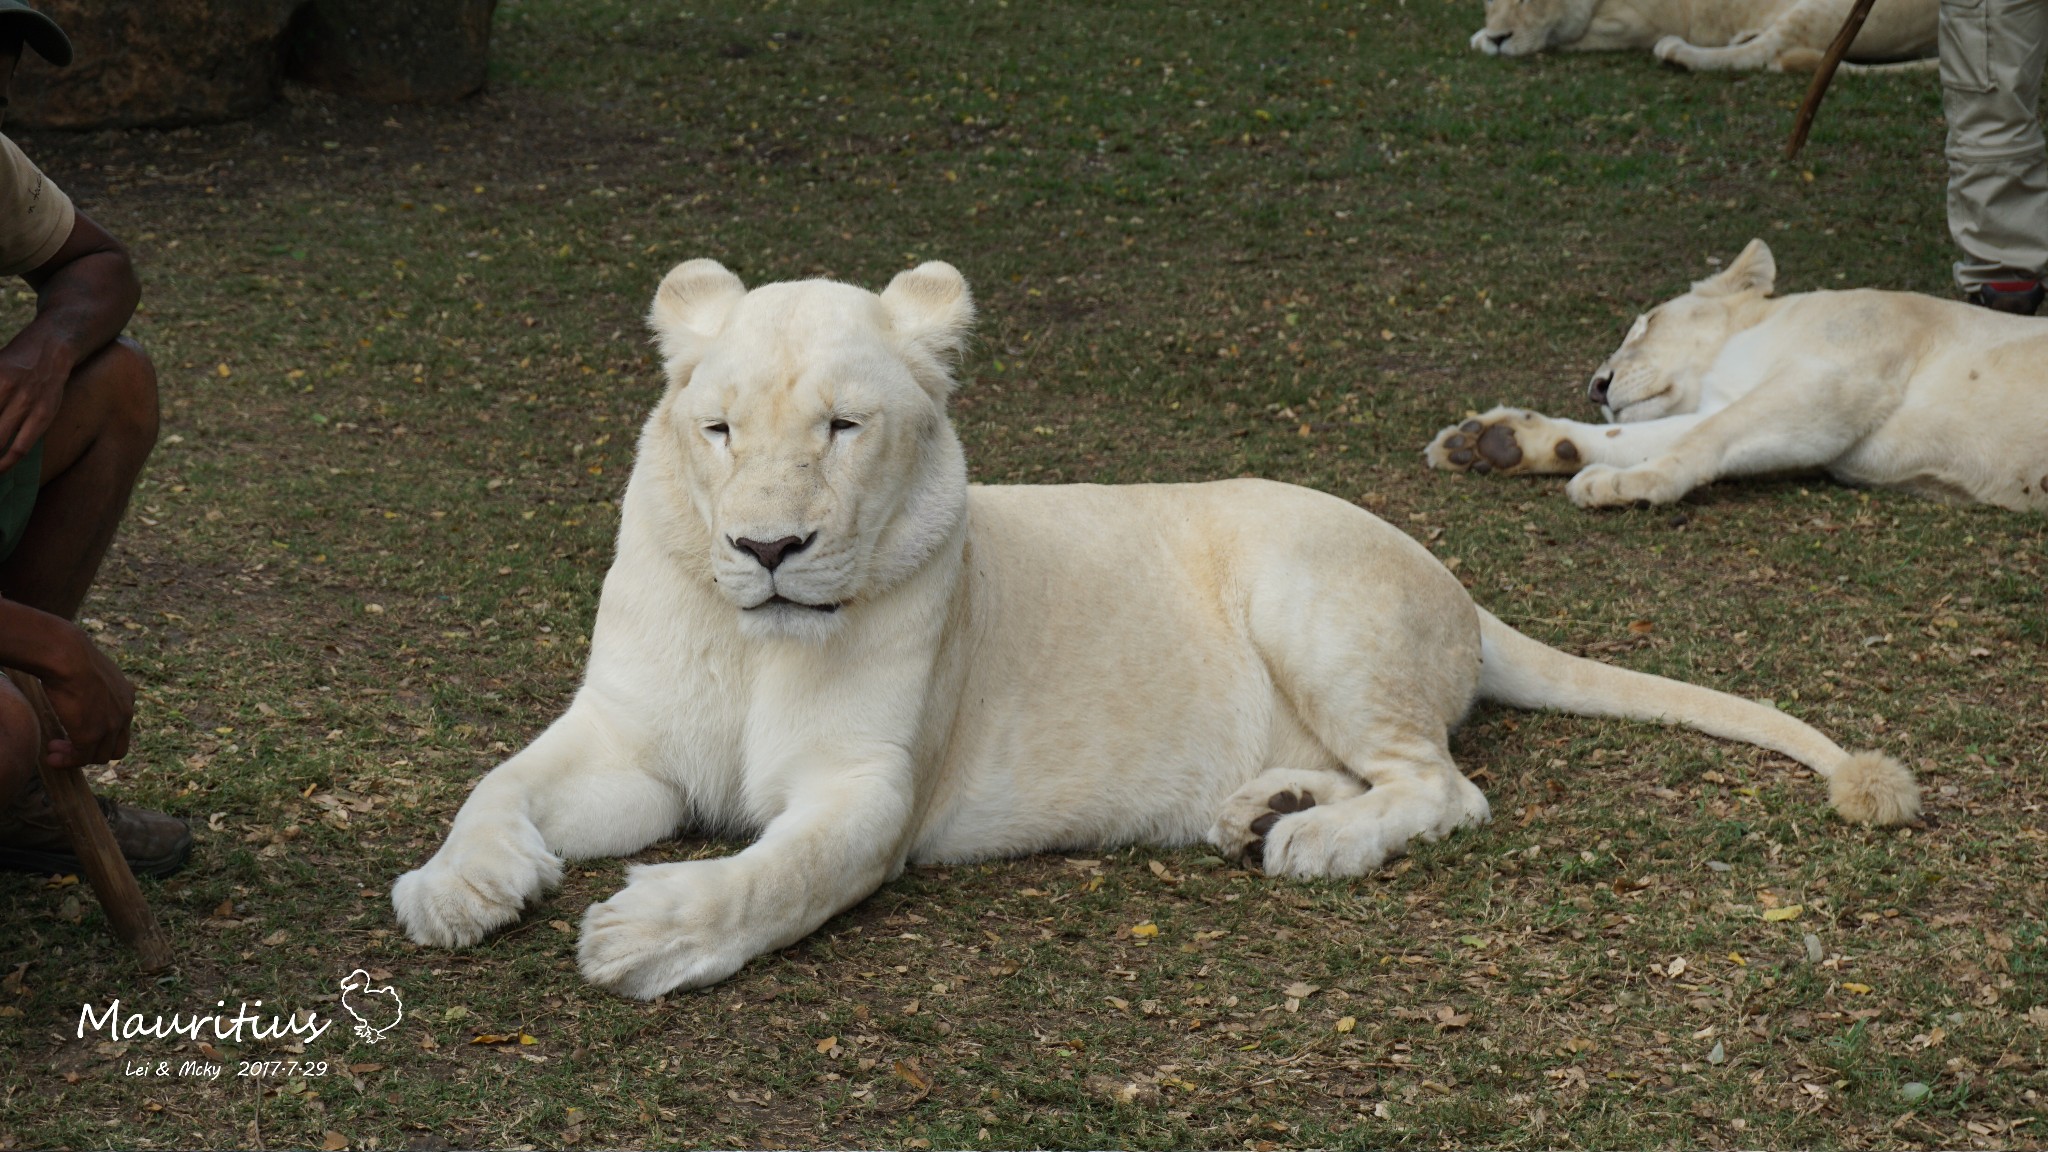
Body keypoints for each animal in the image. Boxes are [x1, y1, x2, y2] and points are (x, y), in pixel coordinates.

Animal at [395, 255, 1916, 992]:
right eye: (716, 429)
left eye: (842, 427)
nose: (768, 550)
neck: (755, 638)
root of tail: (1459, 587)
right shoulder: (626, 745)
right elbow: (498, 784)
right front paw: (455, 890)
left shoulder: (869, 789)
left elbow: (779, 875)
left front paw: (646, 937)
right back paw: (1260, 805)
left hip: (1307, 587)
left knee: (1446, 786)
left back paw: (1307, 839)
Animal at [1425, 239, 2048, 508]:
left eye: (1645, 325)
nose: (1596, 387)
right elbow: (1634, 434)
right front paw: (1494, 443)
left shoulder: (1837, 377)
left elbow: (1704, 435)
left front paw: (1626, 484)